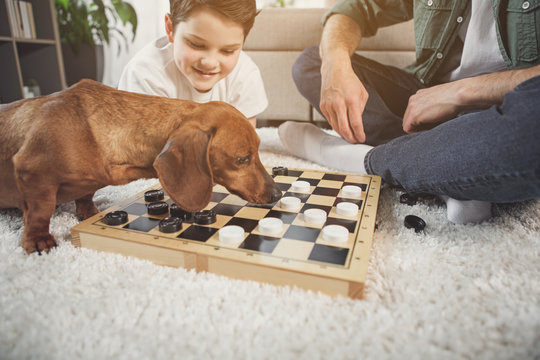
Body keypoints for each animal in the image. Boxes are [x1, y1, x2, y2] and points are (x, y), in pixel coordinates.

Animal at [1, 79, 282, 253]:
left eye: (258, 151)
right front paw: (38, 239)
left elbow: (85, 196)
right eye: (242, 159)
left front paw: (88, 211)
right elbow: (40, 210)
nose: (277, 194)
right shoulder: (32, 170)